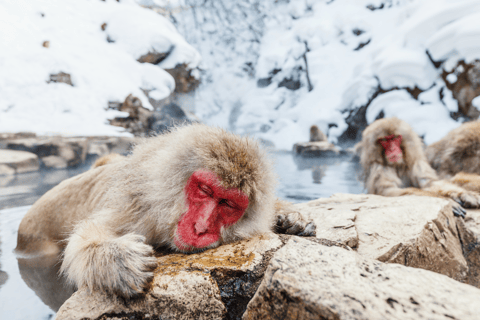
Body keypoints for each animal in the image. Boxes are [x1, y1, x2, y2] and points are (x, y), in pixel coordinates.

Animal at [15, 124, 316, 298]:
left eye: (227, 204)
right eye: (205, 190)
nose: (201, 227)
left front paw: (292, 217)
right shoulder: (138, 210)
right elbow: (86, 237)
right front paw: (116, 259)